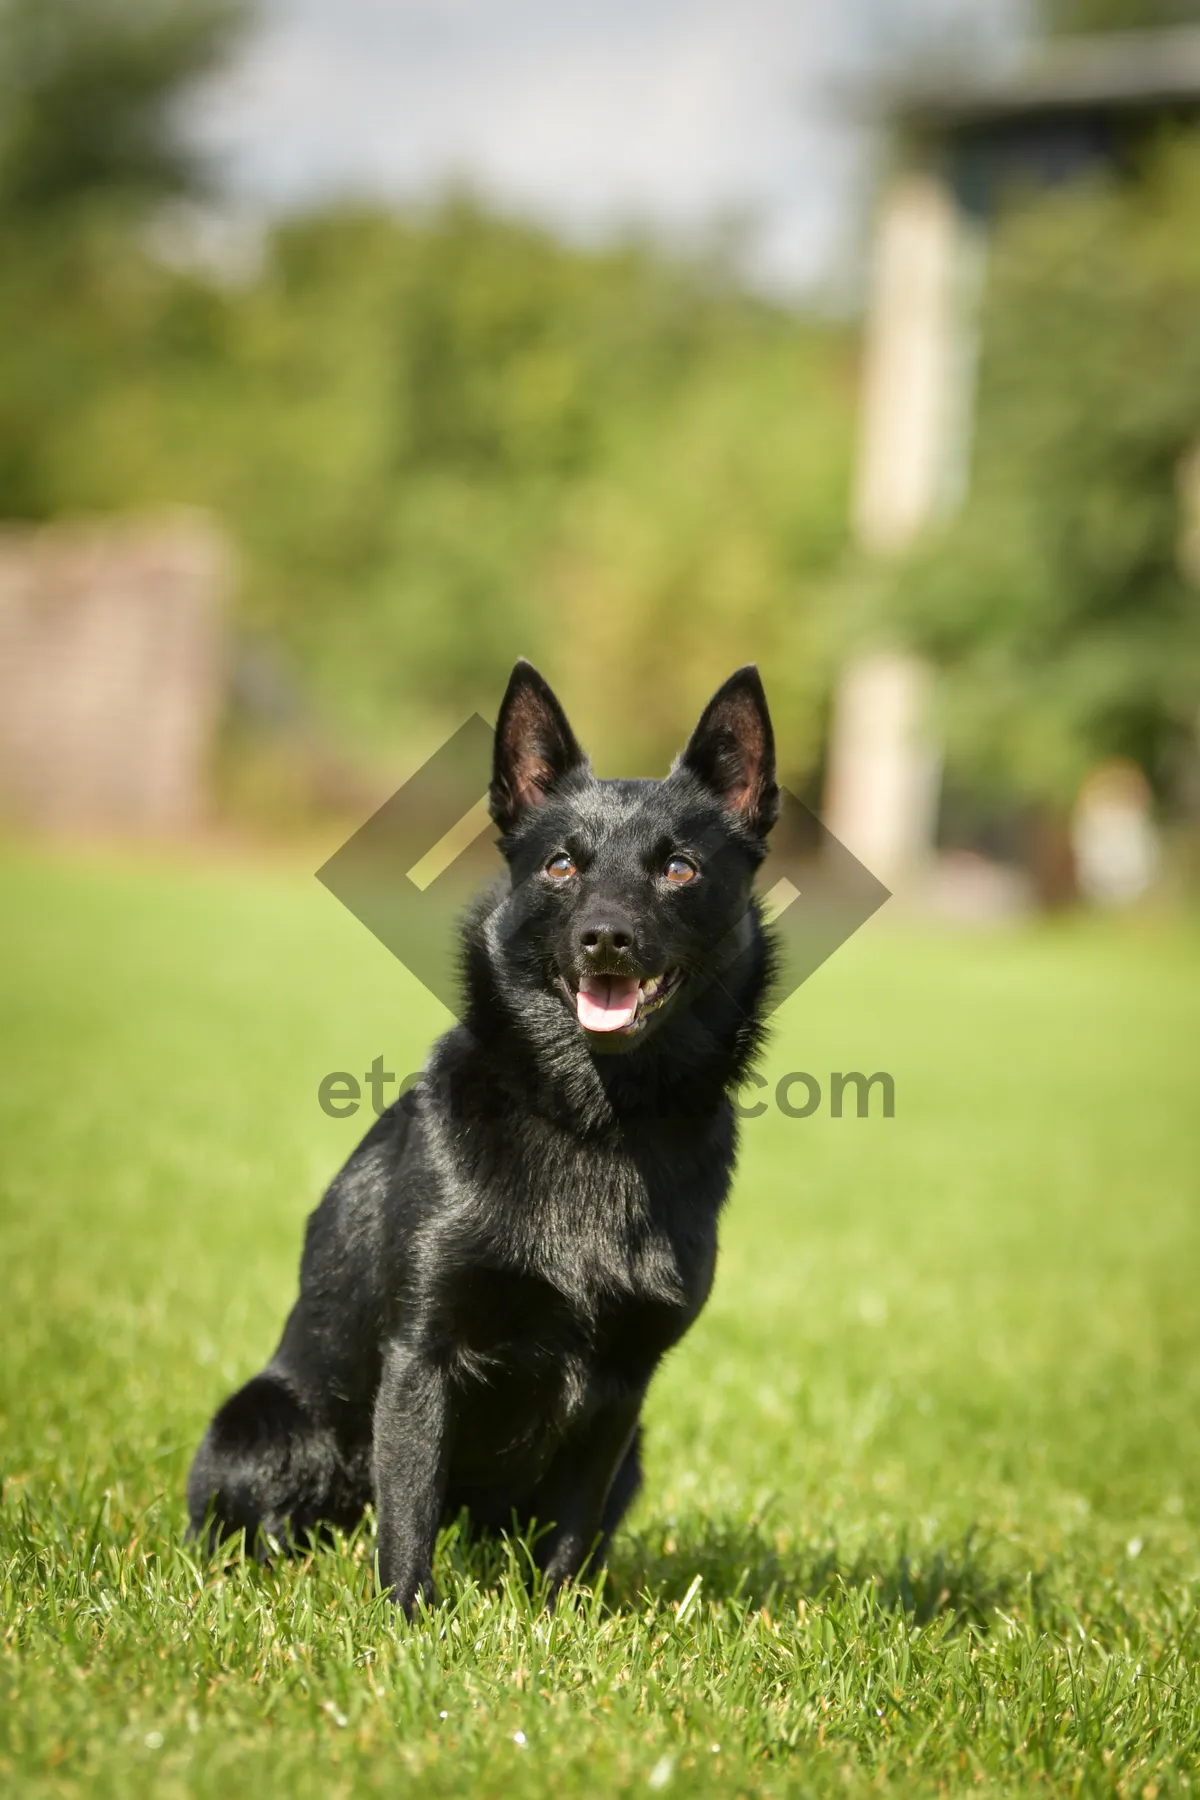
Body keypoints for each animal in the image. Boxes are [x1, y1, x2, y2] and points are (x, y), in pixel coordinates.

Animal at [183, 655, 773, 1612]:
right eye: (562, 865)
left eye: (679, 870)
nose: (605, 938)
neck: (594, 1122)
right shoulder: (423, 1354)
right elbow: (409, 1512)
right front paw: (405, 1623)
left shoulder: (622, 1388)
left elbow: (572, 1532)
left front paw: (557, 1623)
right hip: (266, 1425)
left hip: (633, 1455)